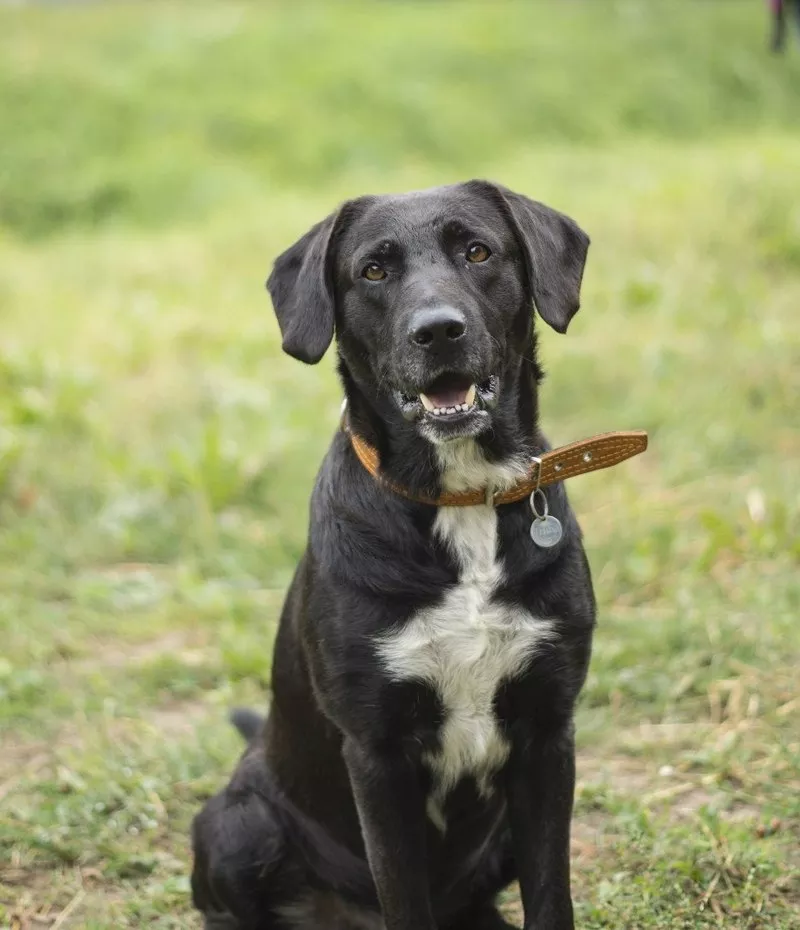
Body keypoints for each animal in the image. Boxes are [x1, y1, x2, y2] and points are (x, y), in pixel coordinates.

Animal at [191, 178, 596, 924]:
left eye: (477, 251)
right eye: (374, 271)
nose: (438, 330)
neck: (461, 501)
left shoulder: (549, 734)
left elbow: (551, 894)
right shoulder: (377, 755)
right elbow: (405, 896)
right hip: (237, 823)